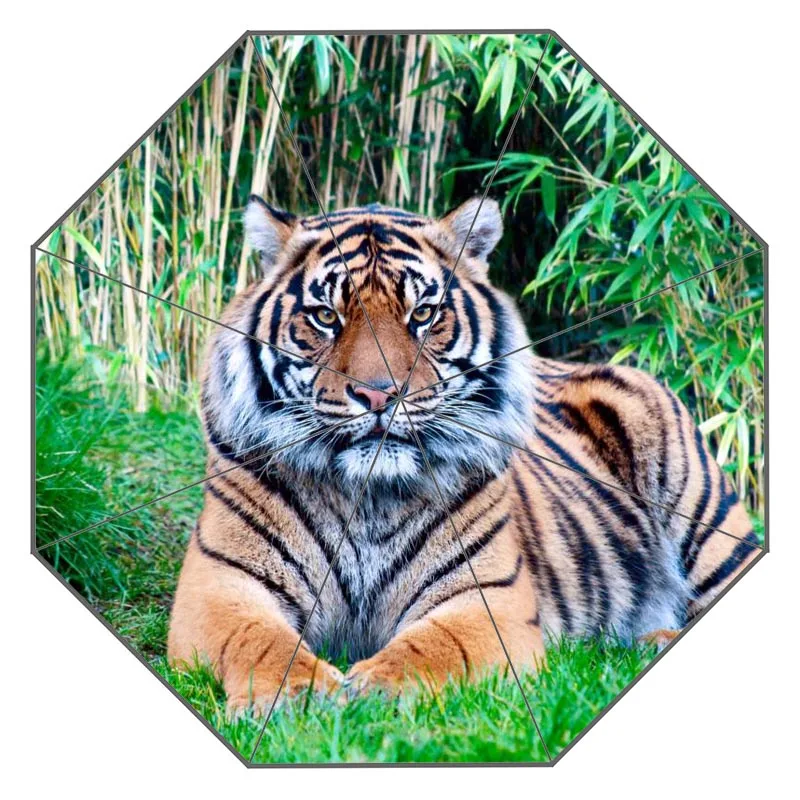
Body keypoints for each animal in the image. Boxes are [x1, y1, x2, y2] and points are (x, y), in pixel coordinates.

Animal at [167, 195, 760, 713]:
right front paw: (300, 697)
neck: (367, 494)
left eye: (424, 314)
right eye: (326, 317)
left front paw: (374, 689)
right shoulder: (218, 586)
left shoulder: (485, 596)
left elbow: (432, 647)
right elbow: (258, 640)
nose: (379, 394)